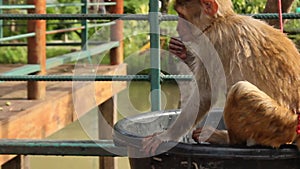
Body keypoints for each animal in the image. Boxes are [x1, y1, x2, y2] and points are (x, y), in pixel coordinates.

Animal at [142, 0, 300, 154]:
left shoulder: (214, 42)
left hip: (282, 123)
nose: (178, 26)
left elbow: (205, 95)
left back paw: (226, 139)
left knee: (240, 90)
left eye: (181, 15)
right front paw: (184, 52)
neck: (220, 21)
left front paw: (165, 136)